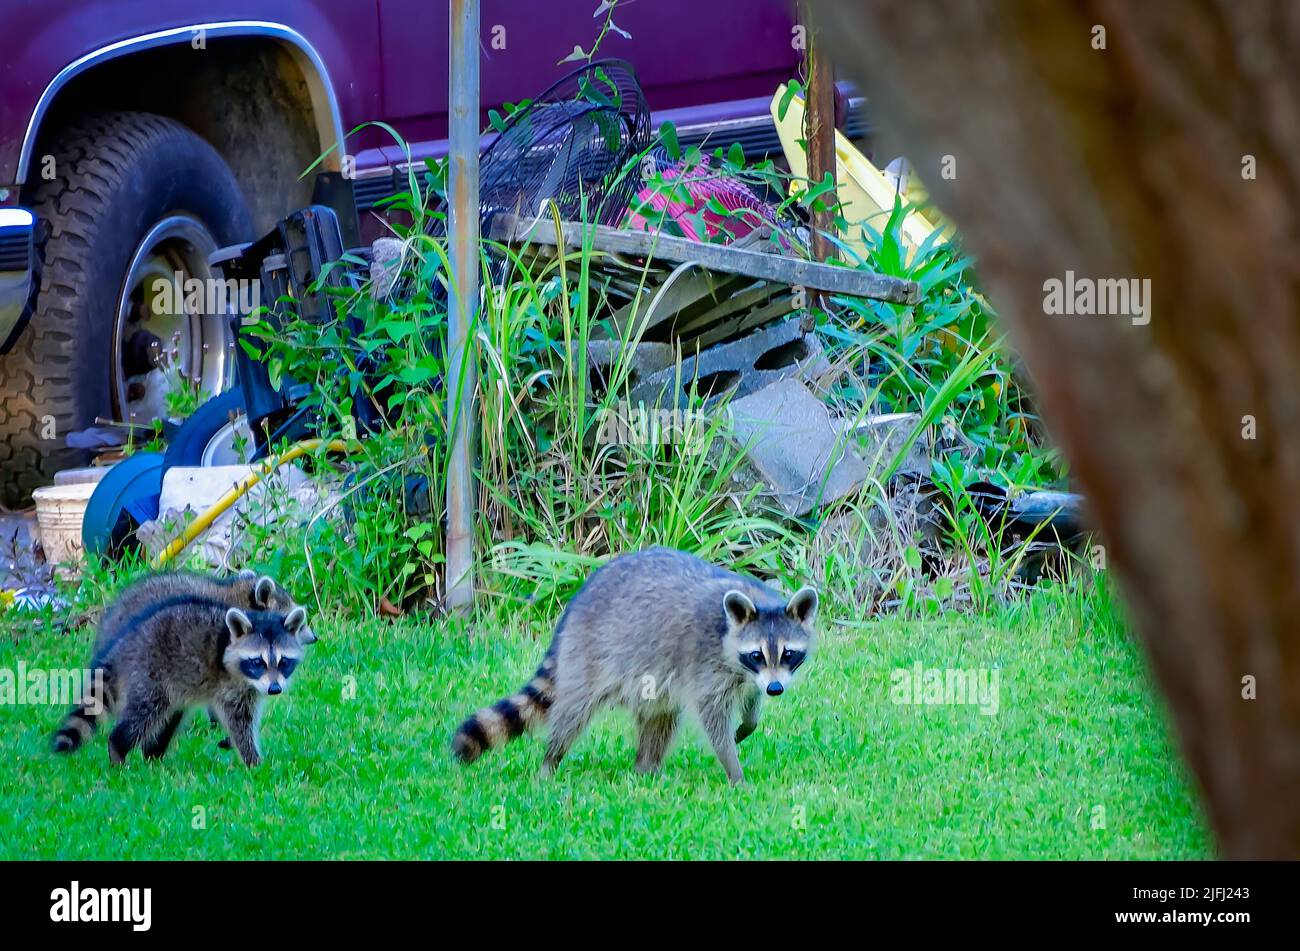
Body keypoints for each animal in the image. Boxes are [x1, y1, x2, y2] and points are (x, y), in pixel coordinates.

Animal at [52, 597, 308, 769]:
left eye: (284, 662)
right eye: (258, 662)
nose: (274, 689)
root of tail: (123, 644)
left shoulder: (250, 689)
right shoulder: (230, 685)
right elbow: (239, 722)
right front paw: (252, 760)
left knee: (169, 719)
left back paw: (153, 755)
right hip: (150, 675)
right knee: (144, 715)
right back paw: (118, 748)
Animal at [447, 545, 811, 784]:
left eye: (789, 654)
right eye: (757, 654)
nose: (776, 689)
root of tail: (576, 603)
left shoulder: (745, 674)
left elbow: (750, 699)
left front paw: (749, 721)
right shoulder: (706, 663)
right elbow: (713, 721)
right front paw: (734, 771)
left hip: (651, 680)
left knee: (660, 719)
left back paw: (646, 768)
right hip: (587, 655)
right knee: (571, 714)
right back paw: (550, 763)